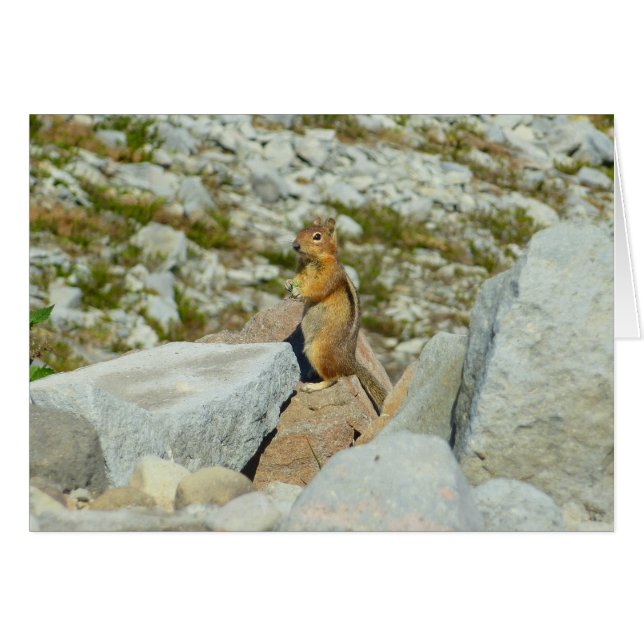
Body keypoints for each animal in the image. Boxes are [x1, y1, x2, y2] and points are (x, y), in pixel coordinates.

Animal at [285, 216, 388, 414]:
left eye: (317, 236)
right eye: (302, 230)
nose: (295, 245)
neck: (312, 260)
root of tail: (350, 363)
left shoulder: (328, 276)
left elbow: (316, 289)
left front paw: (300, 292)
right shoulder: (301, 270)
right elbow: (298, 278)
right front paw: (288, 282)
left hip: (317, 349)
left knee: (335, 378)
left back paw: (312, 386)